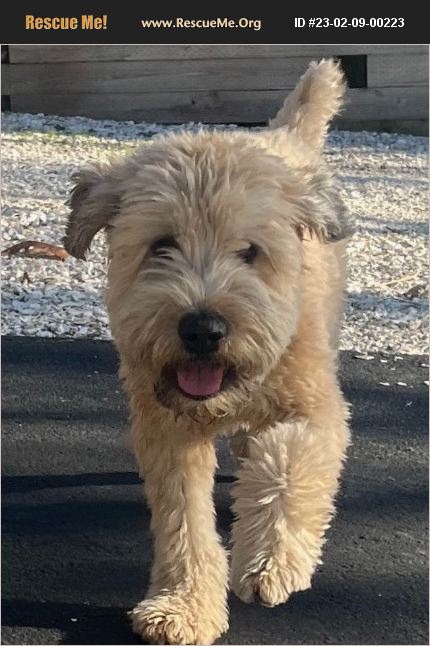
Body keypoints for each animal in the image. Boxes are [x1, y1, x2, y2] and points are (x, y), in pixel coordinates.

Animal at [63, 58, 352, 644]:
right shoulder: (168, 430)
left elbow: (289, 461)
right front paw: (183, 605)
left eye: (251, 251)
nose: (202, 328)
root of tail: (283, 137)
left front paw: (269, 560)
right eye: (162, 245)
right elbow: (184, 520)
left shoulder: (317, 408)